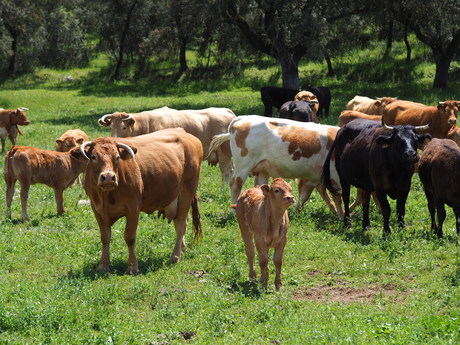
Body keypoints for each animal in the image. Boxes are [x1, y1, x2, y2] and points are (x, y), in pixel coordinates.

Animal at [78, 127, 202, 272]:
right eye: (93, 157)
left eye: (117, 157)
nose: (108, 177)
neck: (107, 196)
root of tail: (185, 133)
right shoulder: (97, 209)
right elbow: (105, 237)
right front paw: (103, 264)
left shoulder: (133, 208)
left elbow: (129, 237)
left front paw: (132, 266)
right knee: (181, 223)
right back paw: (182, 248)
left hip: (187, 192)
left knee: (181, 225)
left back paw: (175, 256)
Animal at [97, 107, 234, 183]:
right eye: (111, 127)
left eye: (124, 127)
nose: (114, 139)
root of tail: (227, 111)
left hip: (224, 153)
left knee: (227, 172)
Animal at [207, 115, 344, 218]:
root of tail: (241, 119)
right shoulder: (334, 176)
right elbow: (337, 197)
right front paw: (342, 217)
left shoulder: (314, 177)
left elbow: (306, 195)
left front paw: (297, 212)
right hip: (243, 165)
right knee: (235, 184)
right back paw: (235, 211)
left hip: (261, 170)